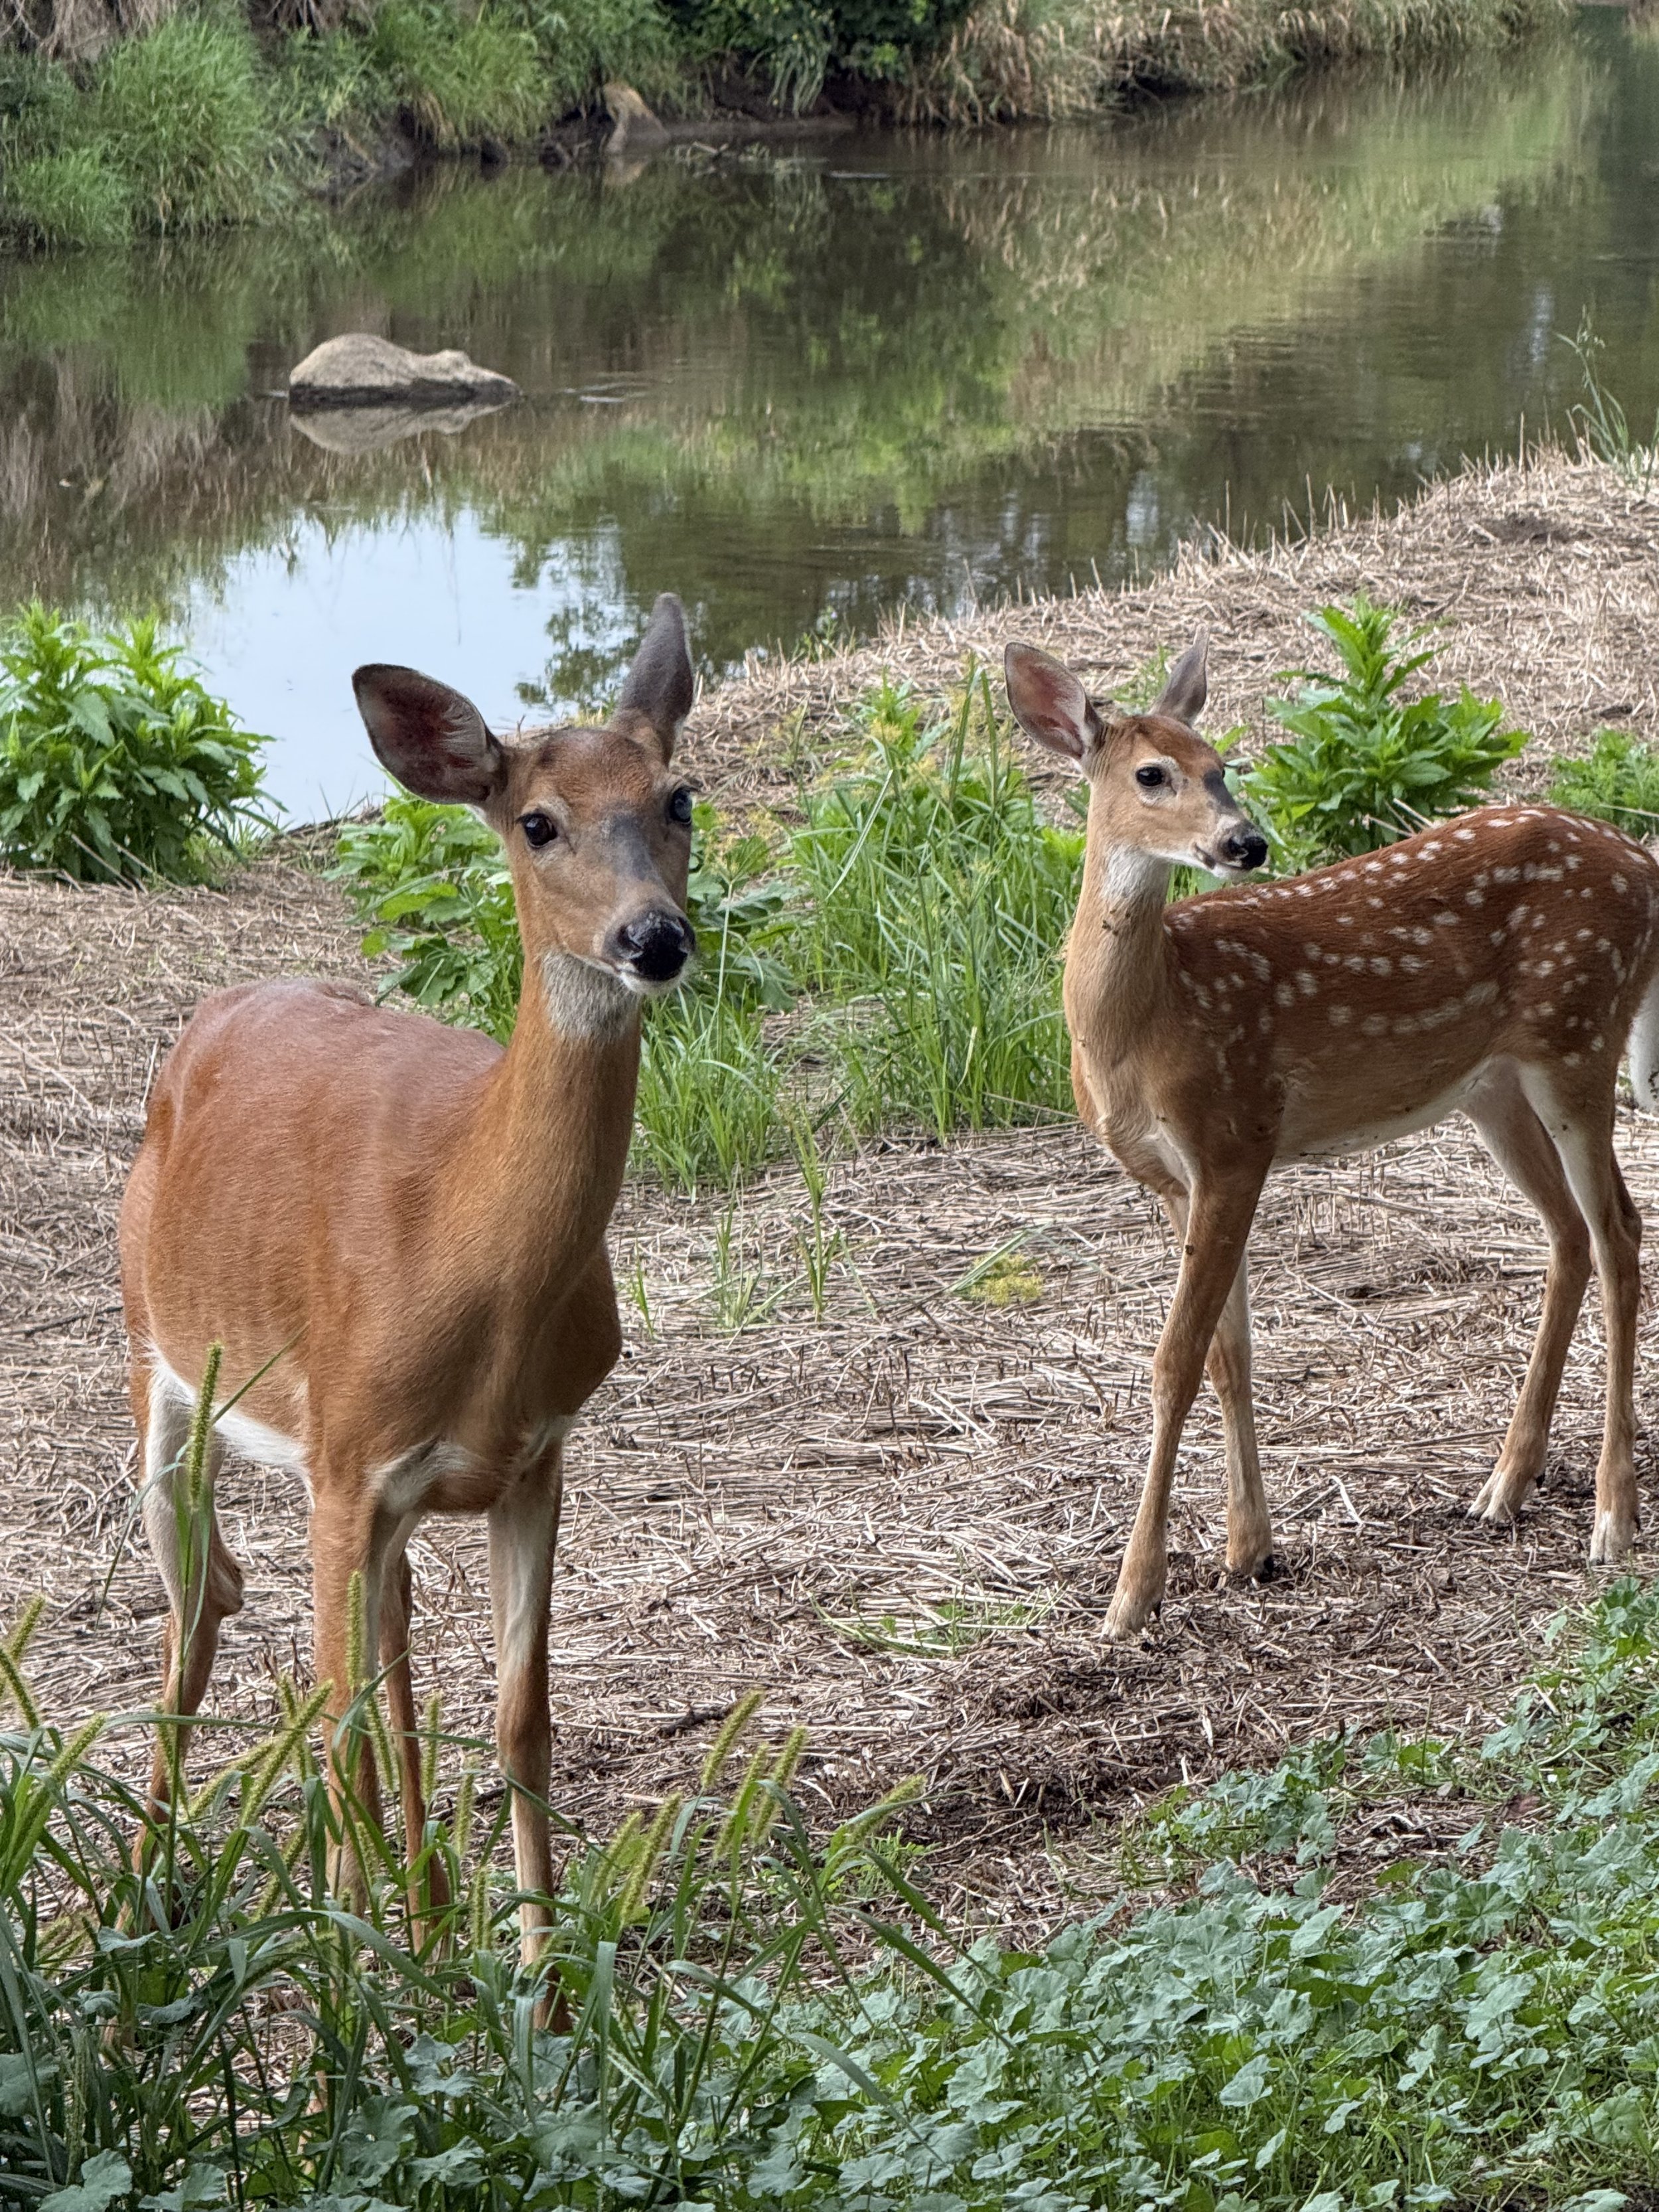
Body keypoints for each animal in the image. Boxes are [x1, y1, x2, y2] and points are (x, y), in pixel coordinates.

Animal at [119, 593, 699, 1998]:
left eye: (678, 798)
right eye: (535, 820)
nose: (654, 938)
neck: (467, 1259)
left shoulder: (535, 1453)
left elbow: (518, 1710)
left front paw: (540, 1978)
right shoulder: (343, 1456)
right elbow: (333, 1725)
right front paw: (352, 2003)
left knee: (377, 1648)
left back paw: (414, 1905)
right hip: (159, 1357)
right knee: (200, 1604)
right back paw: (164, 1884)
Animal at [1004, 631, 1659, 1640]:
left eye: (1221, 765)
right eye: (1153, 773)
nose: (1246, 842)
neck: (1146, 1023)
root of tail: (1647, 865)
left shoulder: (1235, 1136)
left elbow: (1174, 1361)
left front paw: (1133, 1594)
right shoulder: (1173, 1178)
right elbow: (1228, 1353)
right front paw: (1248, 1551)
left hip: (1577, 1037)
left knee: (1622, 1233)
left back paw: (1611, 1518)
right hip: (1494, 1086)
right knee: (1570, 1234)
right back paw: (1502, 1487)